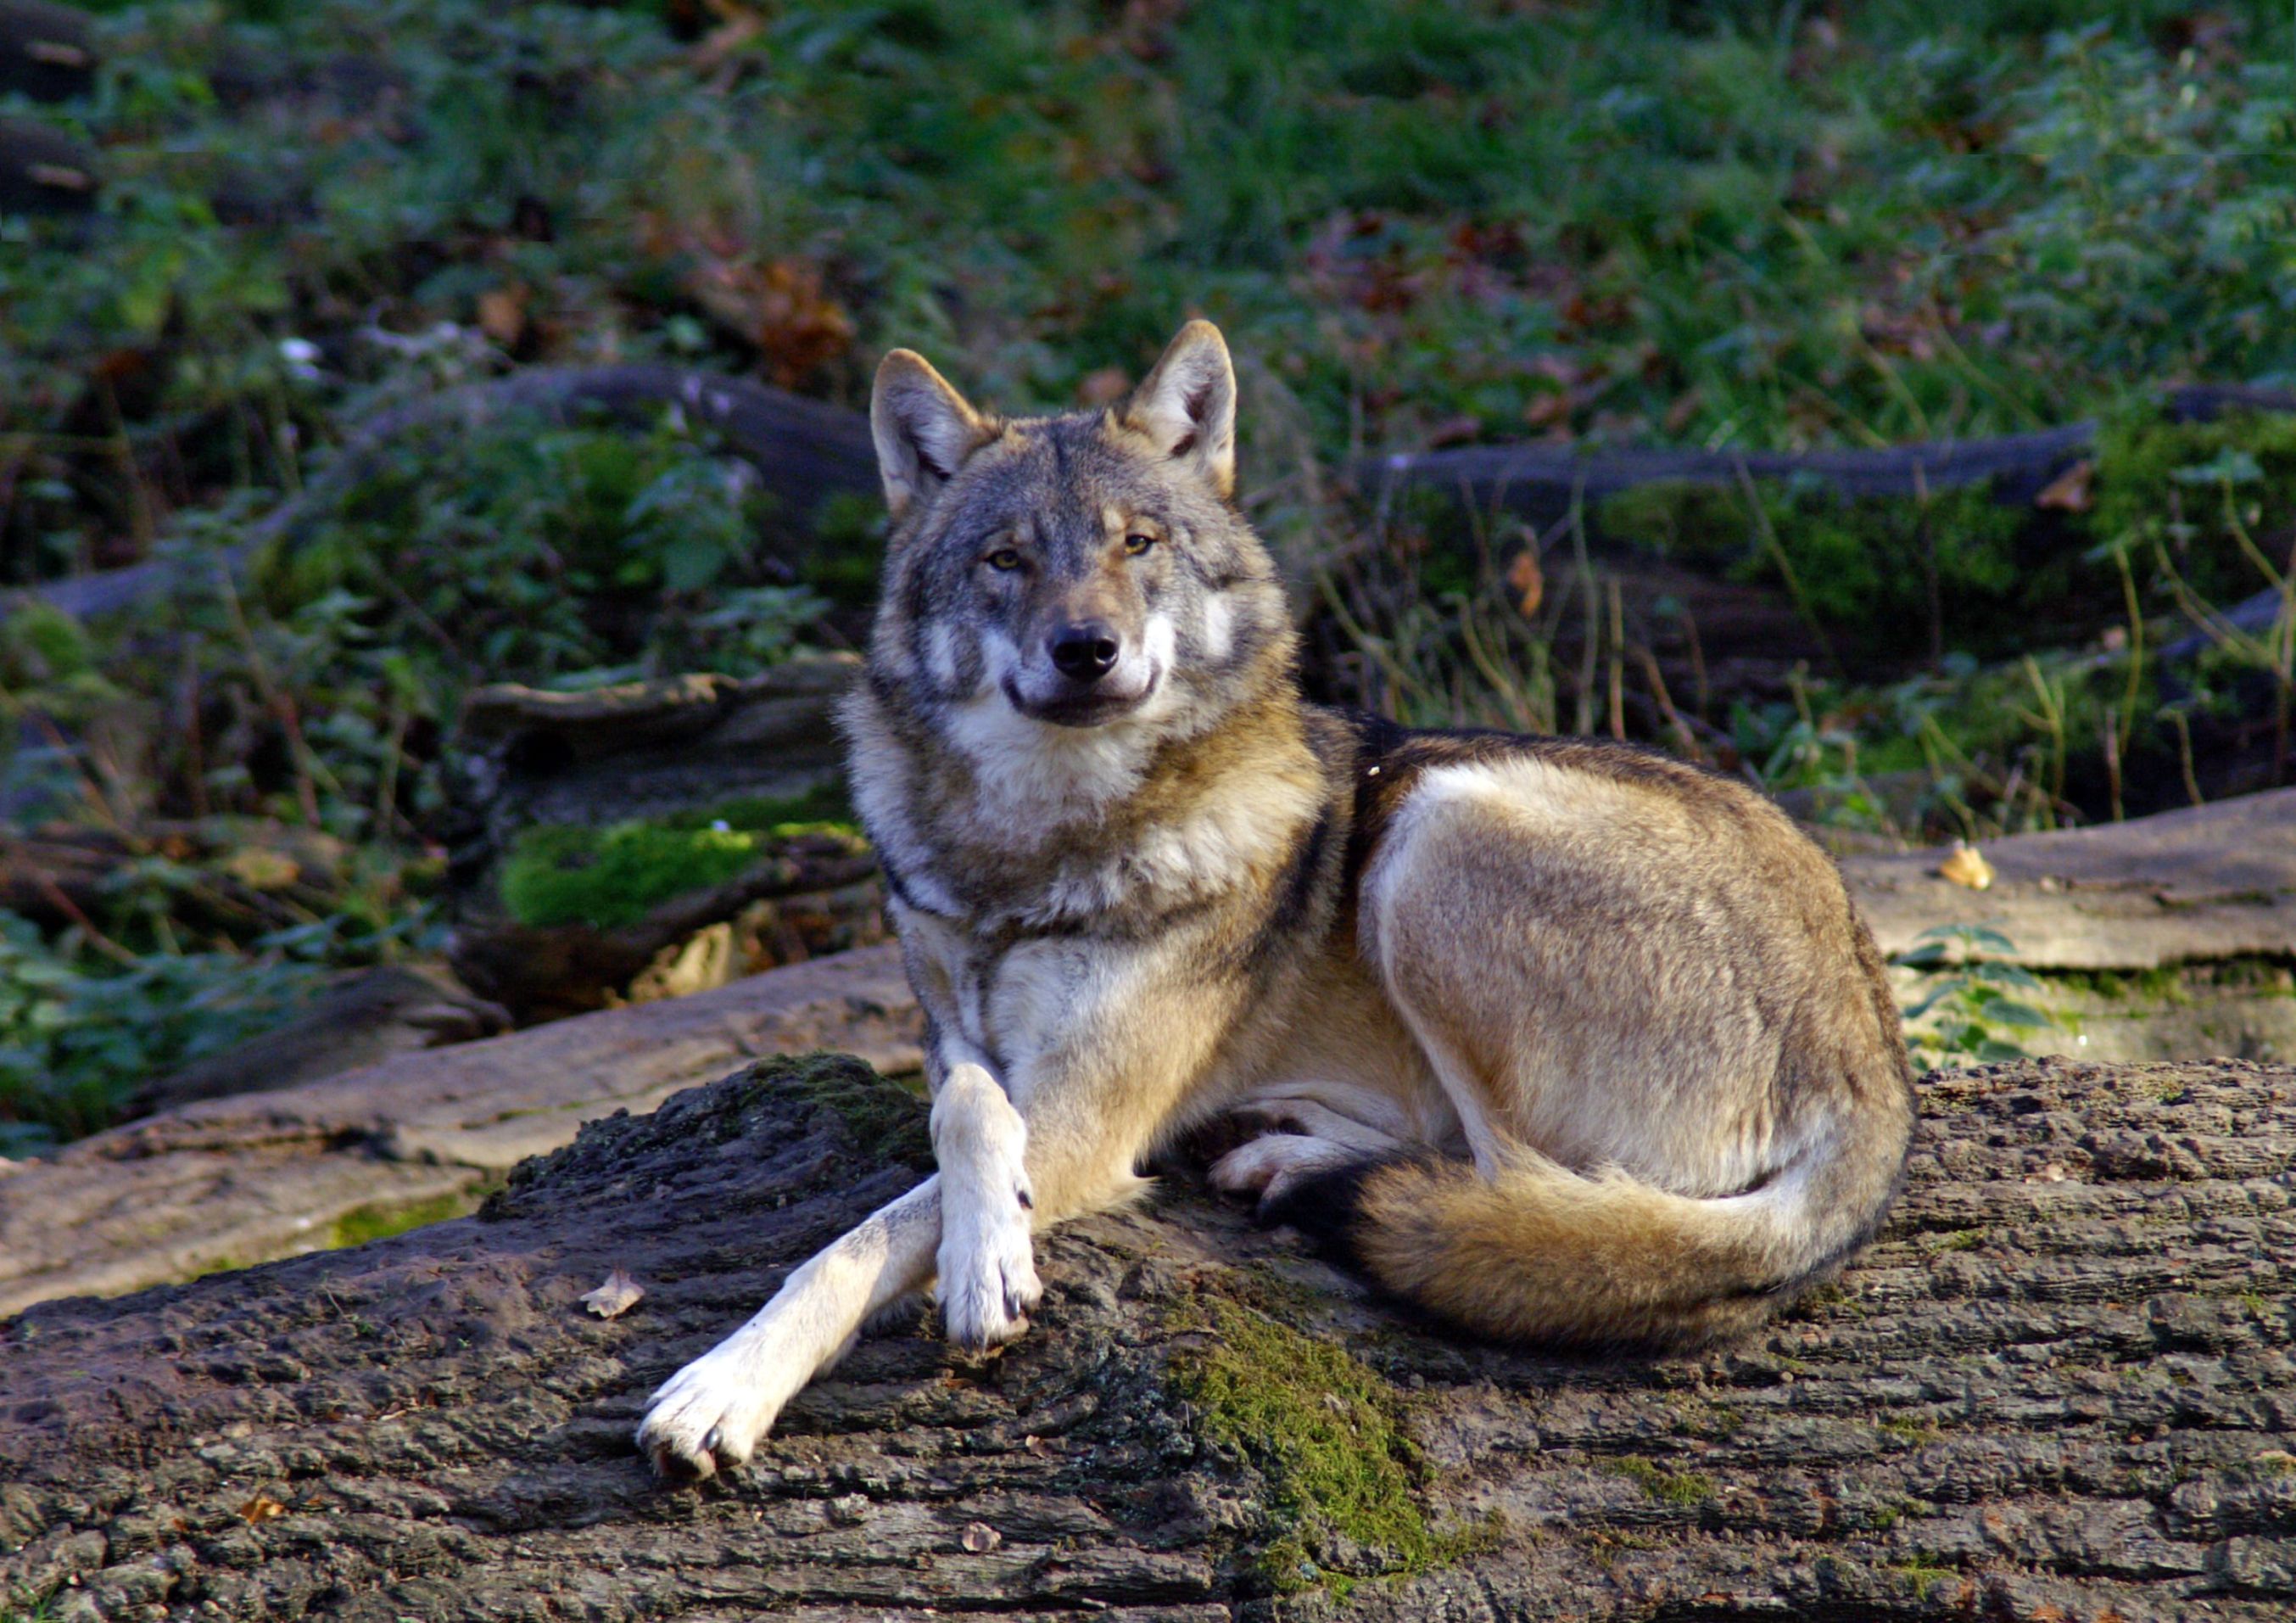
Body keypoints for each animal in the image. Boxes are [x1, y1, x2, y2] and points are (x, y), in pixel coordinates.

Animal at [634, 323, 1919, 1478]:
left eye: (1137, 543)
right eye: (1005, 559)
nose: (1086, 648)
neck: (1037, 848)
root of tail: (1876, 1056)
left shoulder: (1090, 1115)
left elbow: (867, 1234)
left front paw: (750, 1372)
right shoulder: (962, 1039)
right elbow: (960, 1107)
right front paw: (966, 1241)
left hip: (1437, 825)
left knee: (1521, 1194)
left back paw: (1302, 1168)